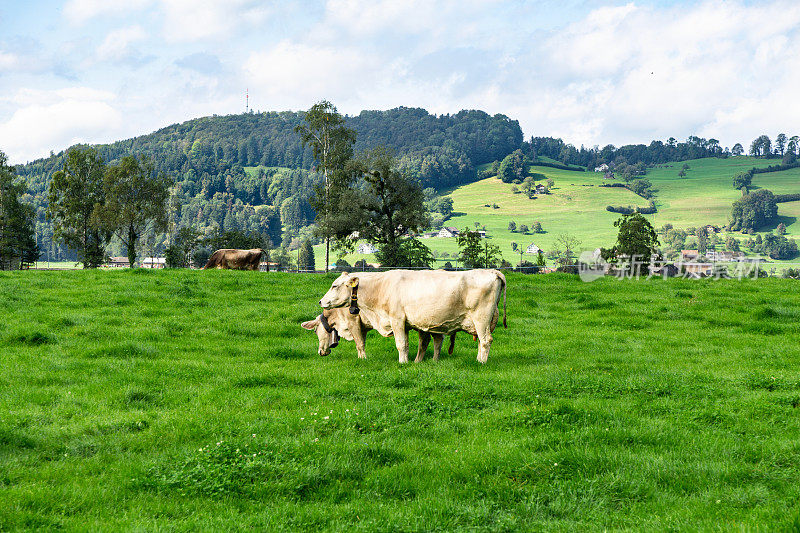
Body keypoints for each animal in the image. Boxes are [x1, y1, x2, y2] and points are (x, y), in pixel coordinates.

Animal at [318, 268, 506, 364]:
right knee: (481, 341)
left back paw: (481, 362)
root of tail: (492, 271)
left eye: (334, 285)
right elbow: (408, 345)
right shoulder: (406, 324)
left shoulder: (396, 319)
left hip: (481, 318)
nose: (321, 301)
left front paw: (402, 363)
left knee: (486, 340)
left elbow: (400, 344)